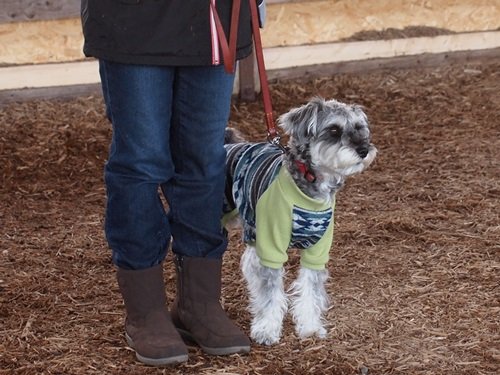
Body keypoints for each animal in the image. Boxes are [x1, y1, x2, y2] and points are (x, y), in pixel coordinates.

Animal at [223, 97, 376, 346]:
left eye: (358, 127)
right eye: (334, 130)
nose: (364, 150)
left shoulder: (317, 252)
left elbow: (310, 290)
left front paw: (310, 327)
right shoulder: (271, 248)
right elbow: (271, 292)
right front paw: (267, 329)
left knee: (250, 263)